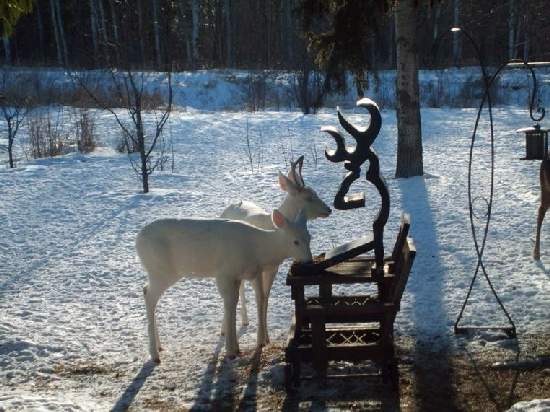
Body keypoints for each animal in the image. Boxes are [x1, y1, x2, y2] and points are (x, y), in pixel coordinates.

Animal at [137, 209, 314, 360]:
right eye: (295, 241)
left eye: (309, 237)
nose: (309, 262)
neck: (257, 250)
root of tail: (137, 241)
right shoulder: (225, 273)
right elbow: (230, 303)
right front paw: (231, 351)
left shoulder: (251, 274)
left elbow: (257, 299)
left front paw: (252, 343)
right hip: (162, 270)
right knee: (149, 295)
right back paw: (154, 354)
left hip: (158, 272)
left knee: (147, 291)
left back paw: (159, 347)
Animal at [220, 156, 332, 342]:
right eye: (309, 197)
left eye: (315, 192)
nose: (328, 209)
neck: (272, 228)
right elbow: (259, 297)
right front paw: (262, 339)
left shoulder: (273, 268)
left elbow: (266, 298)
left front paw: (266, 338)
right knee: (239, 287)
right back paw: (231, 326)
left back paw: (244, 321)